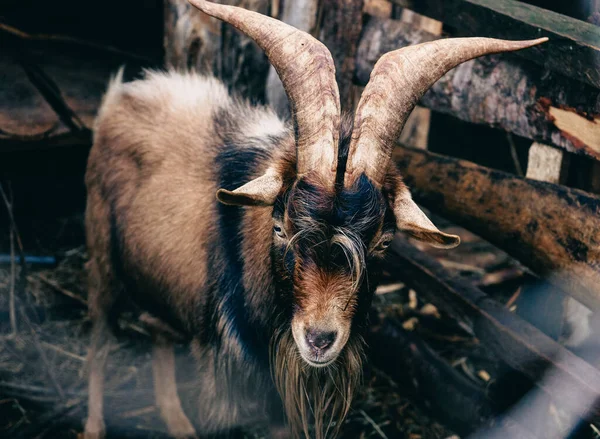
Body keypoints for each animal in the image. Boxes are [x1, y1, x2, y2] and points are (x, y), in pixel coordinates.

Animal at [84, 1, 548, 438]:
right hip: (101, 252)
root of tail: (124, 93)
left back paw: (176, 422)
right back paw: (94, 426)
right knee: (100, 338)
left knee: (157, 330)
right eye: (279, 227)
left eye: (383, 243)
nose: (319, 340)